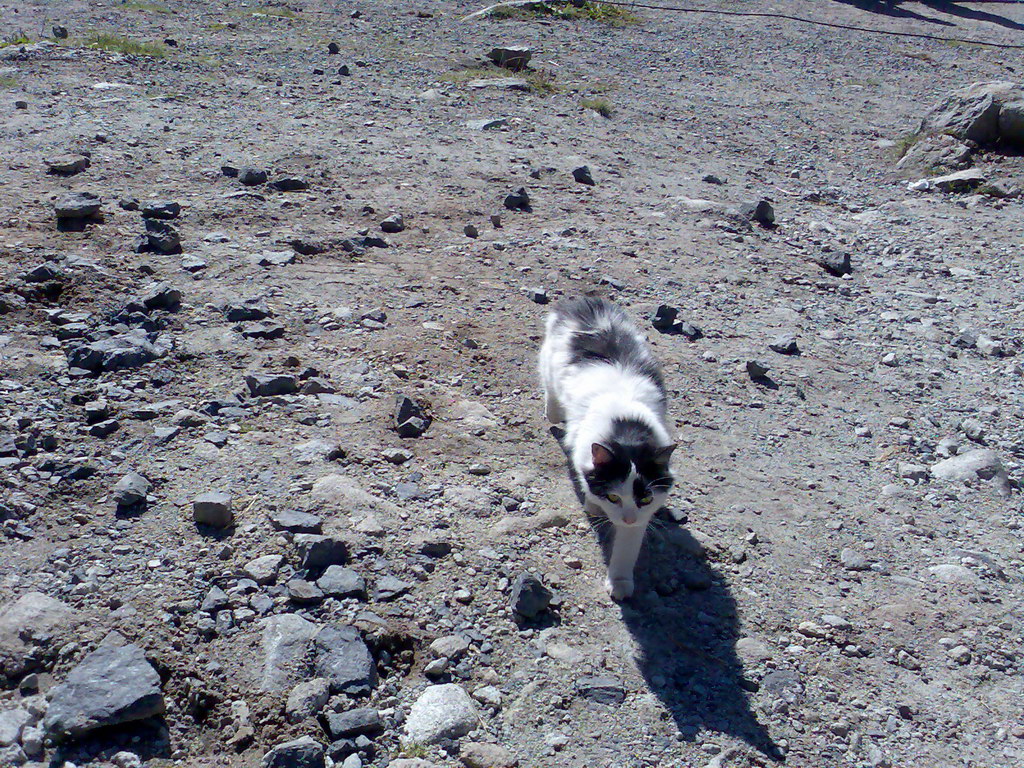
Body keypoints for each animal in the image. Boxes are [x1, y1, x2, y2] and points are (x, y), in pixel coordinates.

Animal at [540, 296, 675, 606]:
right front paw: (593, 504)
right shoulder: (582, 453)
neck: (626, 426)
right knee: (550, 390)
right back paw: (553, 412)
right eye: (613, 496)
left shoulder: (641, 515)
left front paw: (620, 583)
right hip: (550, 363)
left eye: (645, 498)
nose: (627, 517)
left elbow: (627, 548)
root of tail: (587, 301)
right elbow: (587, 484)